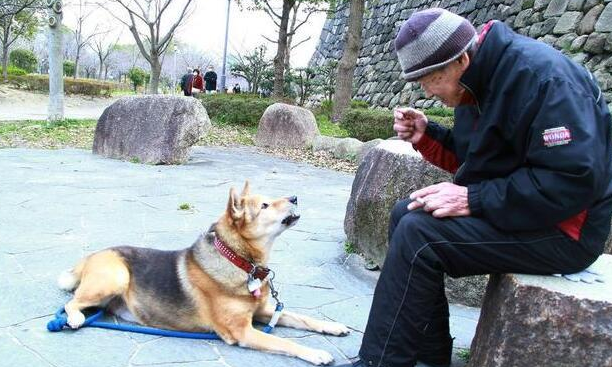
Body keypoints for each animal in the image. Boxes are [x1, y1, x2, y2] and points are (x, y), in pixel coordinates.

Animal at [59, 181, 352, 366]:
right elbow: (286, 343)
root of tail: (90, 257)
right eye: (265, 206)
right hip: (115, 277)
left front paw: (333, 326)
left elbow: (302, 318)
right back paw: (74, 318)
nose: (294, 198)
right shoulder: (242, 331)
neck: (239, 261)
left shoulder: (264, 312)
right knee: (71, 302)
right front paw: (316, 353)